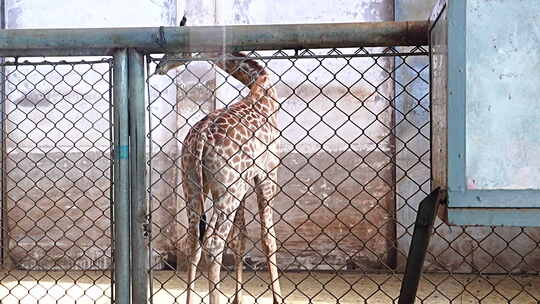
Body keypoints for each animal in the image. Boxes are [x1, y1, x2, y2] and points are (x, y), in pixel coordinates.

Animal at [154, 18, 282, 304]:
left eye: (179, 44)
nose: (159, 66)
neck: (262, 89)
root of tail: (200, 138)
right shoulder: (267, 173)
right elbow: (268, 237)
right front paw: (277, 298)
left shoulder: (245, 181)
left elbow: (241, 237)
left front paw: (238, 298)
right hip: (227, 190)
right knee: (213, 242)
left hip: (192, 183)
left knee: (194, 238)